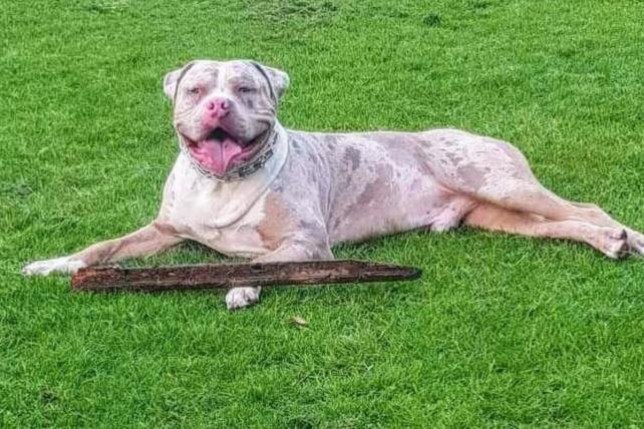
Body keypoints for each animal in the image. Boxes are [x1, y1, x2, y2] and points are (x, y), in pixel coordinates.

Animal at [23, 59, 644, 308]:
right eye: (197, 90)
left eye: (246, 88)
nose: (220, 104)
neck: (223, 182)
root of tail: (483, 134)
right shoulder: (165, 228)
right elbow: (104, 247)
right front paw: (54, 263)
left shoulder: (306, 243)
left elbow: (260, 261)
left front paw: (243, 286)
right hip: (502, 217)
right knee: (562, 224)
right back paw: (609, 243)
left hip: (500, 182)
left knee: (586, 207)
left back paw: (626, 236)